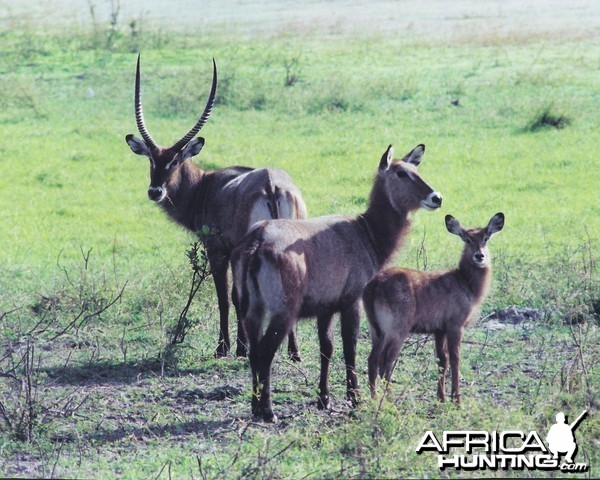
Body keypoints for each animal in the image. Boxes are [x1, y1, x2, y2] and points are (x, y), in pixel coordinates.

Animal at [125, 54, 308, 358]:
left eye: (175, 160)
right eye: (151, 158)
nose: (155, 191)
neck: (206, 187)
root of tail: (271, 184)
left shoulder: (219, 250)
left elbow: (226, 296)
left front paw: (227, 348)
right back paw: (293, 353)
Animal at [232, 143, 442, 420]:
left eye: (416, 169)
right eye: (401, 173)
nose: (436, 197)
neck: (367, 233)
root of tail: (256, 240)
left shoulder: (326, 306)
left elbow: (327, 348)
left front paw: (324, 398)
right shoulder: (352, 301)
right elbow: (349, 347)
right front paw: (355, 397)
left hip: (252, 309)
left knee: (254, 350)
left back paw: (255, 406)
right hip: (283, 310)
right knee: (265, 351)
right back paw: (267, 410)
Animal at [364, 212, 504, 404]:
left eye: (486, 237)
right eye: (467, 239)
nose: (480, 256)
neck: (467, 284)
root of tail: (373, 285)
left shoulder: (439, 329)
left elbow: (441, 361)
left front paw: (441, 398)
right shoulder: (455, 325)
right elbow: (455, 360)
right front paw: (457, 401)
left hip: (376, 329)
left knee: (372, 359)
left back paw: (373, 397)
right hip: (397, 328)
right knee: (386, 362)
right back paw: (389, 399)